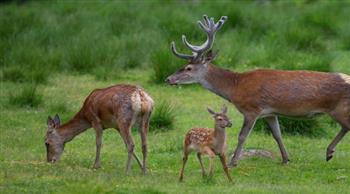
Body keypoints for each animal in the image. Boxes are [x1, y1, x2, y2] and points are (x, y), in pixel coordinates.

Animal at [166, 15, 350, 167]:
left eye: (188, 68)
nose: (168, 79)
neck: (235, 87)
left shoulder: (251, 109)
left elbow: (242, 136)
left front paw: (233, 162)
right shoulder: (270, 113)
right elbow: (277, 134)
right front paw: (285, 159)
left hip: (339, 109)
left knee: (346, 126)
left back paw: (329, 152)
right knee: (345, 127)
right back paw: (329, 152)